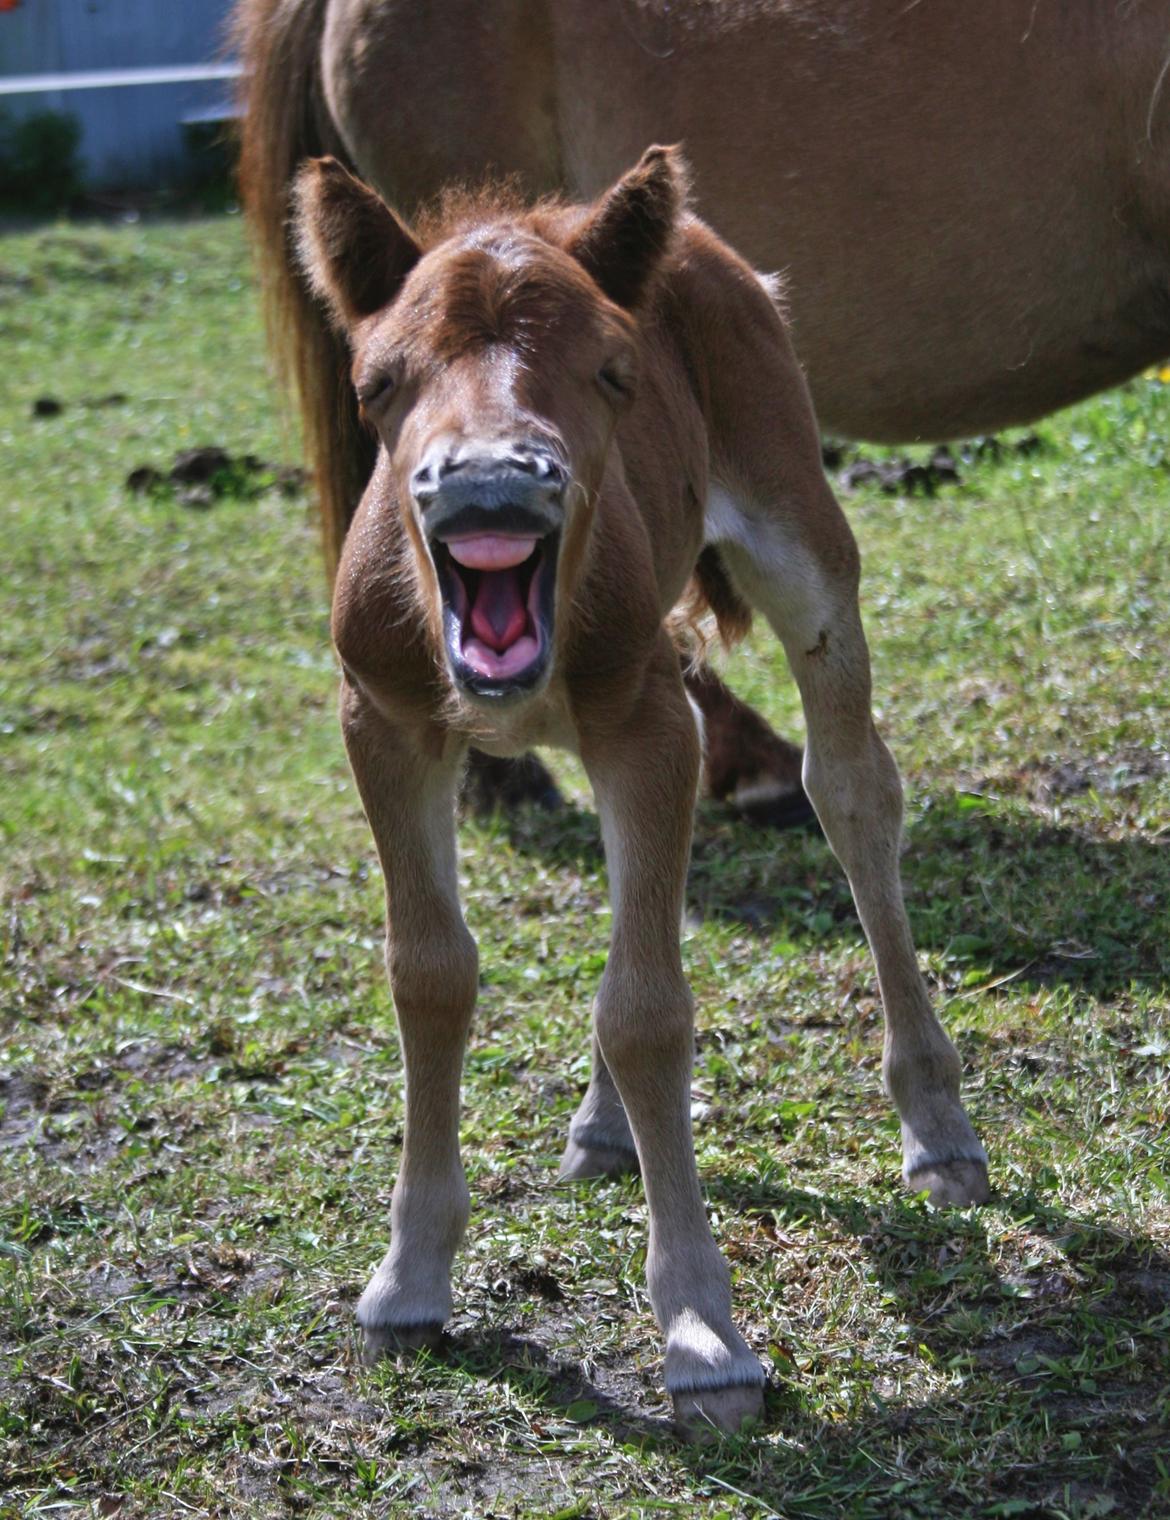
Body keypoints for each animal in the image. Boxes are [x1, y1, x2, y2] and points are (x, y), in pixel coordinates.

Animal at [288, 142, 987, 1436]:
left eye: (614, 373)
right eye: (376, 382)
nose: (491, 487)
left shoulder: (642, 722)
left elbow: (650, 1009)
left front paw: (704, 1332)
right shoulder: (387, 721)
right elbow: (431, 972)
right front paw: (409, 1278)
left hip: (799, 539)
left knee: (853, 789)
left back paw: (937, 1124)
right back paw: (606, 1125)